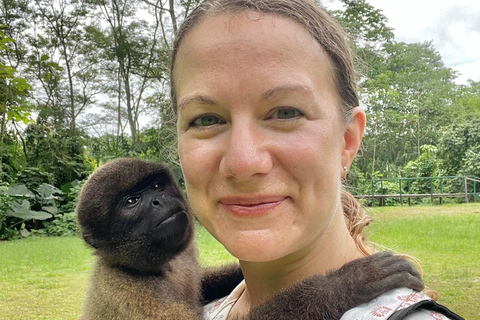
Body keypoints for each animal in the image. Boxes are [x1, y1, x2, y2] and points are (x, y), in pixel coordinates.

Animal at [77, 158, 426, 320]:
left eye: (157, 187)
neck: (156, 268)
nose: (157, 201)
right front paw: (351, 281)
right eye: (132, 202)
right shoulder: (135, 300)